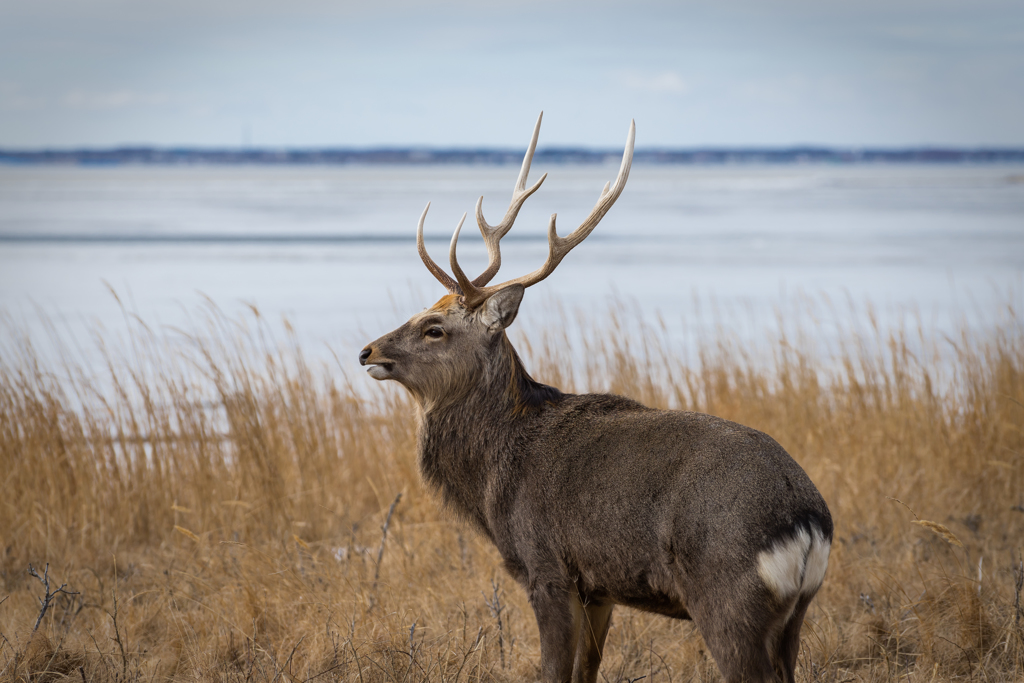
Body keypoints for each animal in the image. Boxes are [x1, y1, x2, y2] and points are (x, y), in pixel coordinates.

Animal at [360, 114, 831, 679]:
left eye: (434, 328)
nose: (366, 351)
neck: (495, 476)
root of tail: (807, 522)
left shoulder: (547, 566)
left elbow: (553, 670)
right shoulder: (598, 587)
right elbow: (586, 670)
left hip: (726, 596)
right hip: (793, 617)